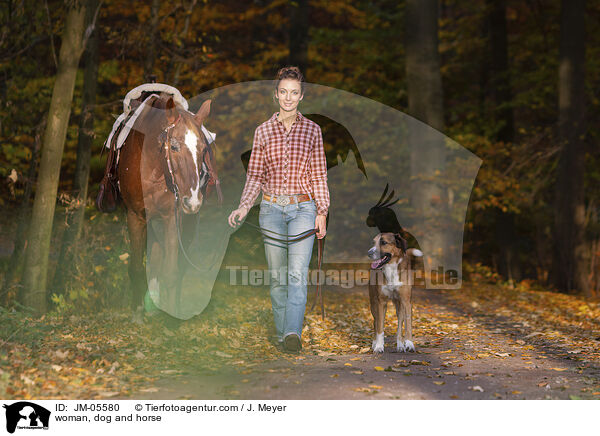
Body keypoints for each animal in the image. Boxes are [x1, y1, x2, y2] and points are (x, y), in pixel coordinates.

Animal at [117, 93, 220, 320]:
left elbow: (172, 271)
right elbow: (136, 267)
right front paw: (137, 311)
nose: (193, 201)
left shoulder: (172, 218)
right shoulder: (135, 216)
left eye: (203, 149)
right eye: (173, 146)